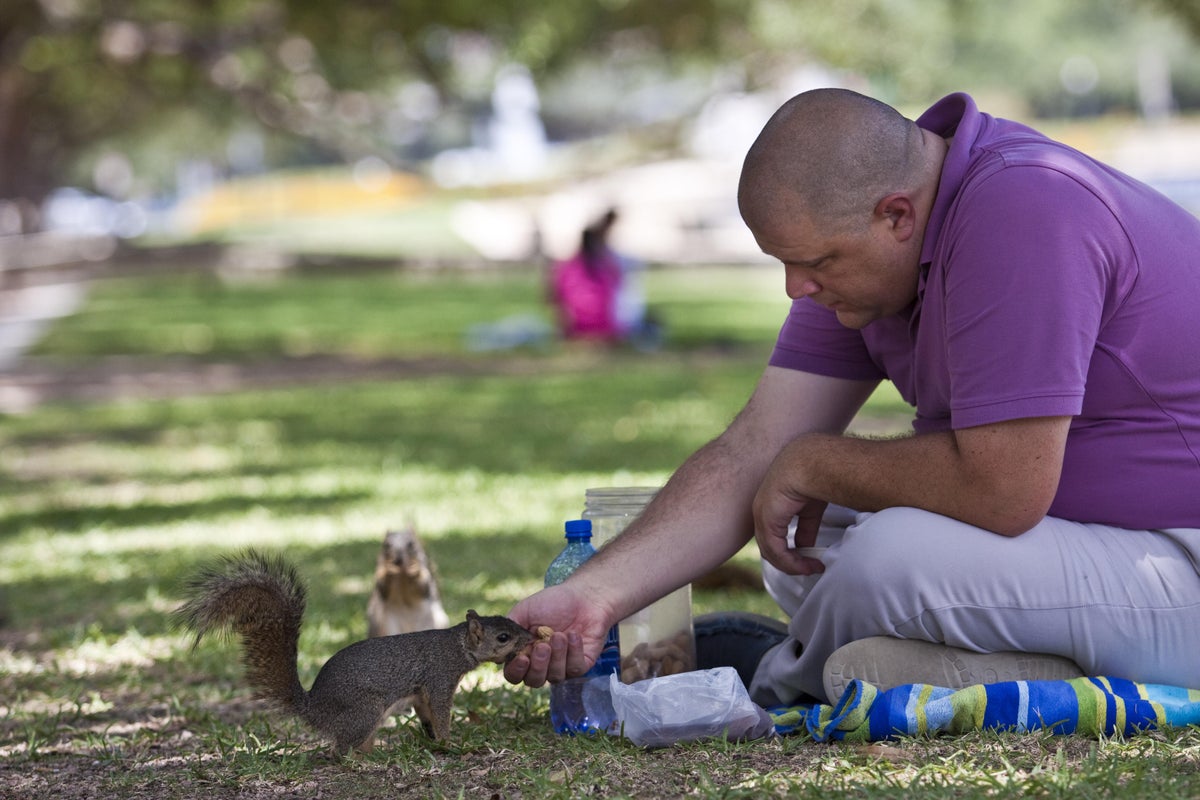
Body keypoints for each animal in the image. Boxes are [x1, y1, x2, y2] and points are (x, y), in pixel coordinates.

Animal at [174, 549, 533, 757]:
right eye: (503, 637)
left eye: (512, 623)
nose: (530, 639)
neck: (457, 644)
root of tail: (314, 709)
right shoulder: (440, 676)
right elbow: (442, 711)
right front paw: (448, 743)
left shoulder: (422, 690)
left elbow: (426, 711)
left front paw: (433, 738)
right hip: (366, 710)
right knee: (339, 751)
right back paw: (360, 763)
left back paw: (373, 754)